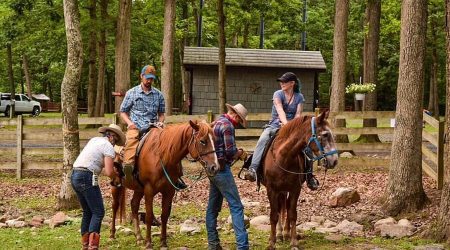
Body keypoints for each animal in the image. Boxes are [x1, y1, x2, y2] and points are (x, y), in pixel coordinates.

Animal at [110, 120, 220, 248]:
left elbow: (164, 216)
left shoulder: (169, 191)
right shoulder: (149, 190)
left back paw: (139, 237)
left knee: (134, 205)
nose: (215, 167)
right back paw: (112, 235)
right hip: (116, 185)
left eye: (215, 140)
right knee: (115, 205)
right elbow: (149, 216)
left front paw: (163, 242)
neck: (162, 156)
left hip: (139, 189)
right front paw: (149, 243)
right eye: (202, 141)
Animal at [262, 111, 340, 250]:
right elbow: (274, 215)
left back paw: (285, 233)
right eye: (325, 134)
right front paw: (272, 242)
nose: (335, 160)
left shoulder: (295, 189)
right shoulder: (271, 190)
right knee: (281, 208)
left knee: (286, 207)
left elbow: (292, 214)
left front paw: (293, 242)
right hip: (280, 190)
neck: (283, 157)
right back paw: (280, 234)